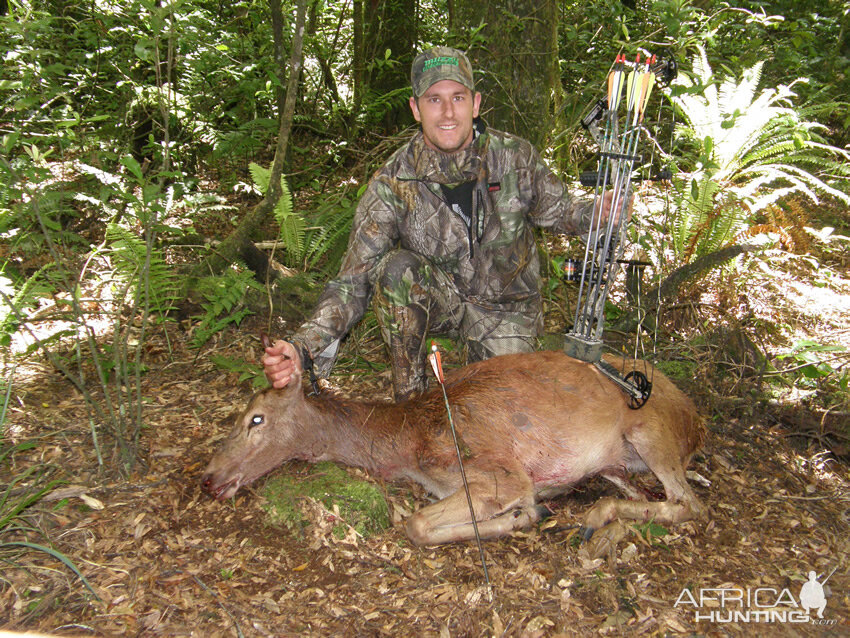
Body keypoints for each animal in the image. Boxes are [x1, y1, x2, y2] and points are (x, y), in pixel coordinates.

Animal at [199, 348, 704, 548]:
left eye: (256, 419)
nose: (208, 479)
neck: (407, 443)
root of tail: (696, 421)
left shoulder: (502, 472)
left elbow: (416, 524)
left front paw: (521, 517)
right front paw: (526, 515)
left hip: (651, 429)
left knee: (691, 503)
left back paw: (595, 515)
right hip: (618, 463)